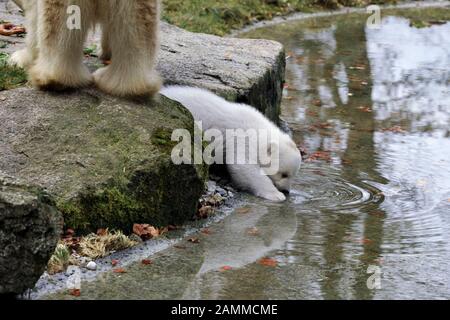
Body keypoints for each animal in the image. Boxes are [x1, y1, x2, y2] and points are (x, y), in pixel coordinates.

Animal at [9, 0, 162, 97]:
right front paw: (106, 52)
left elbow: (34, 13)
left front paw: (22, 58)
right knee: (139, 17)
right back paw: (131, 85)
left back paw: (53, 78)